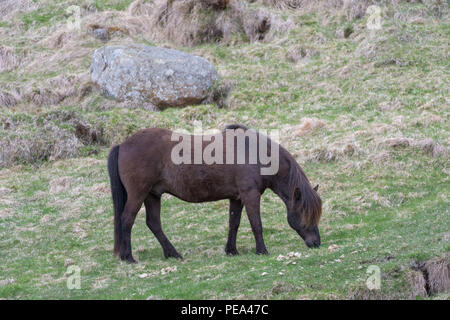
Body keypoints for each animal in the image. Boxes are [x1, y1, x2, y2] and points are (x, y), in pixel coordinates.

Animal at [107, 124, 322, 262]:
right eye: (305, 214)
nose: (316, 243)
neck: (253, 152)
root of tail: (123, 144)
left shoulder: (237, 198)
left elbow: (234, 223)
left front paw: (231, 250)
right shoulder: (250, 195)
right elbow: (256, 224)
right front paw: (262, 250)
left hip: (153, 195)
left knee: (153, 224)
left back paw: (173, 254)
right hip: (139, 194)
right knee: (126, 220)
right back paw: (129, 257)